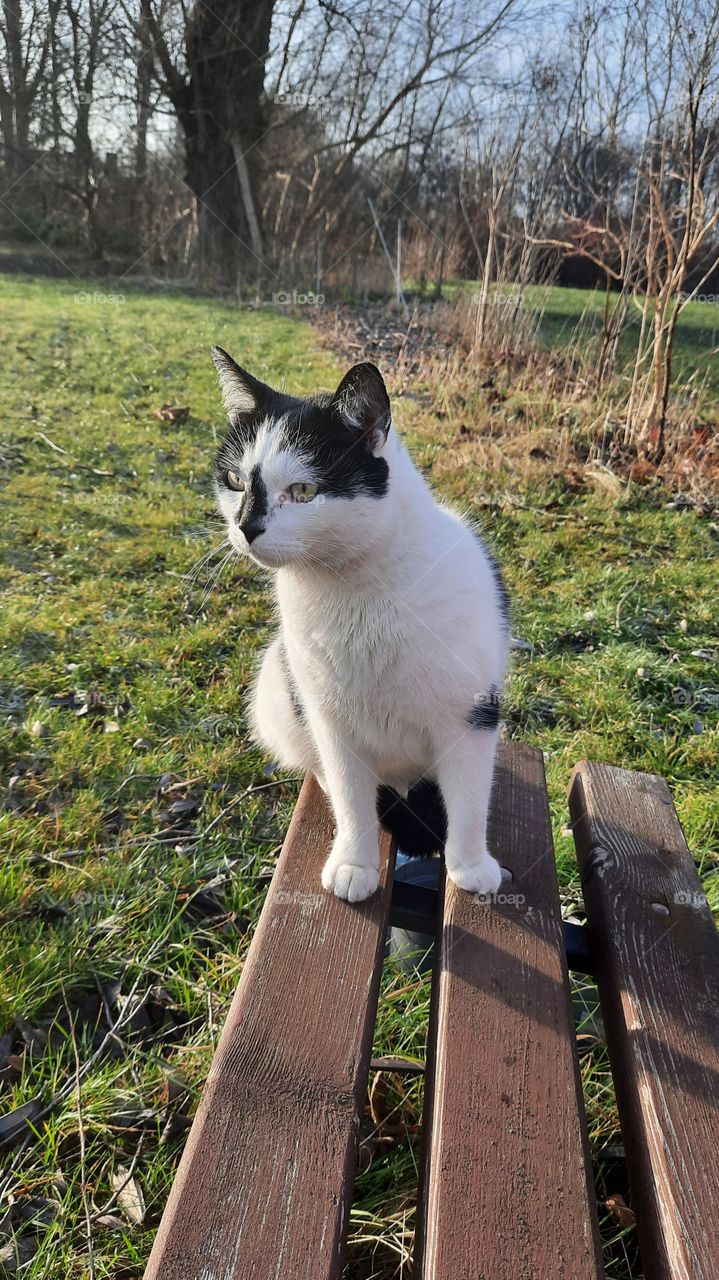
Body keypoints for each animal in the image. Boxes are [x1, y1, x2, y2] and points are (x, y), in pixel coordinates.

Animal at [209, 345, 506, 906]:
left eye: (303, 489)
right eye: (235, 481)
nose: (245, 527)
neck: (355, 589)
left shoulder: (472, 714)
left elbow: (471, 799)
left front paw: (471, 865)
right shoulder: (329, 719)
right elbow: (350, 795)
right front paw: (354, 862)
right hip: (278, 685)